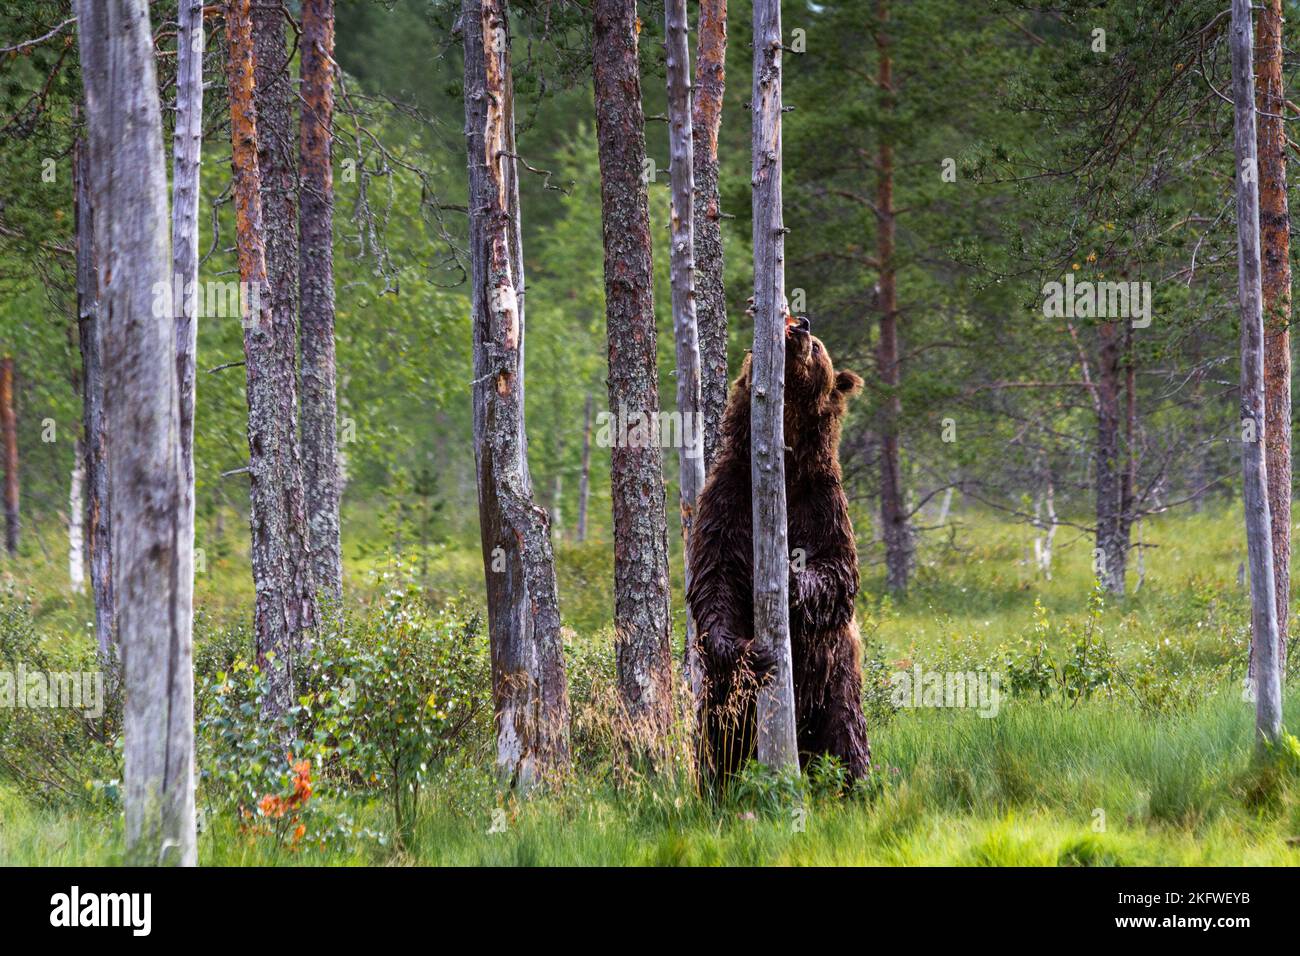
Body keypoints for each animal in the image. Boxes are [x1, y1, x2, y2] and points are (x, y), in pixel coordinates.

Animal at [686, 316, 868, 785]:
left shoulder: (822, 502)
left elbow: (838, 571)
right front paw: (754, 651)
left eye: (819, 347)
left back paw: (855, 783)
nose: (799, 325)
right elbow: (714, 578)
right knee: (719, 747)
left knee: (847, 742)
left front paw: (788, 575)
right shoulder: (729, 497)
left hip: (835, 688)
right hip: (721, 705)